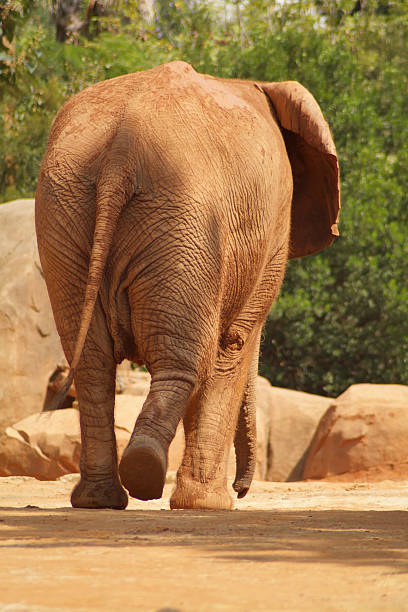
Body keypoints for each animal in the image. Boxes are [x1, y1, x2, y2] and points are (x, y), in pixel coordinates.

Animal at [35, 61, 342, 512]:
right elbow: (232, 345)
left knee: (91, 362)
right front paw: (211, 505)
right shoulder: (274, 226)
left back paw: (100, 499)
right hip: (184, 217)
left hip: (66, 213)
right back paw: (147, 476)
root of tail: (121, 153)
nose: (242, 489)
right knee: (182, 359)